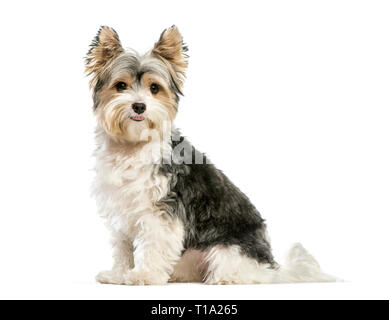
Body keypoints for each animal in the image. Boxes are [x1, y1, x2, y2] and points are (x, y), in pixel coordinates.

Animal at [84, 25, 334, 284]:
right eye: (120, 86)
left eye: (154, 88)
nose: (139, 106)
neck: (133, 145)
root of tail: (272, 268)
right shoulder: (121, 210)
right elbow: (123, 248)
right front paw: (118, 274)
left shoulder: (160, 212)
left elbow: (152, 246)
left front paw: (144, 275)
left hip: (227, 251)